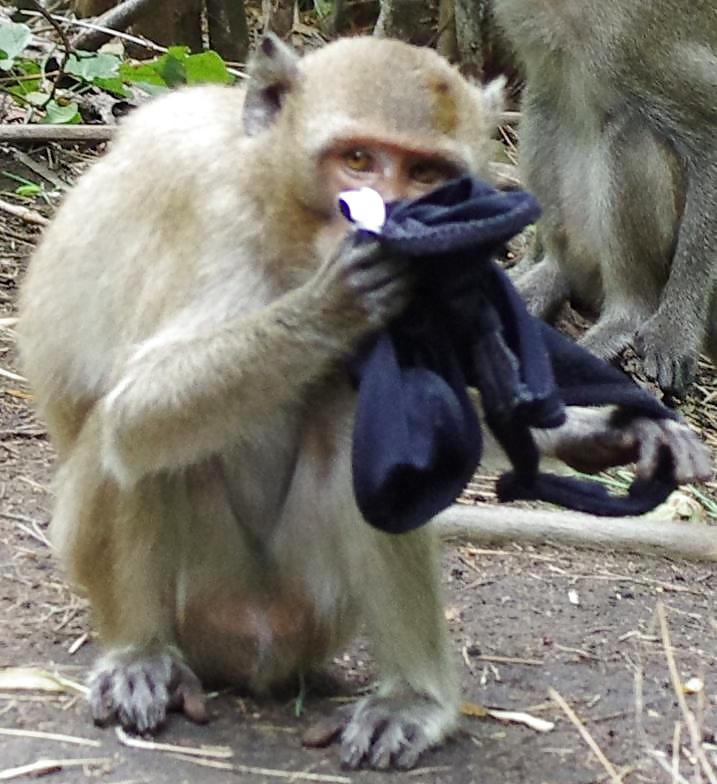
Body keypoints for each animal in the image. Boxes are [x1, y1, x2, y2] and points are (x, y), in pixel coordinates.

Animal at [18, 35, 711, 770]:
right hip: (179, 588)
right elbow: (135, 412)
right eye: (356, 160)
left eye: (426, 172)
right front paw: (342, 296)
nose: (384, 210)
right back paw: (140, 655)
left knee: (360, 425)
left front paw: (601, 430)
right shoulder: (213, 220)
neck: (275, 195)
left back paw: (413, 700)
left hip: (316, 604)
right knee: (136, 444)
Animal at [493, 0, 717, 397]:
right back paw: (552, 270)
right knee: (543, 104)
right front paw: (529, 261)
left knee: (630, 134)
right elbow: (545, 93)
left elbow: (709, 132)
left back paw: (626, 316)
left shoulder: (644, 43)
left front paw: (674, 332)